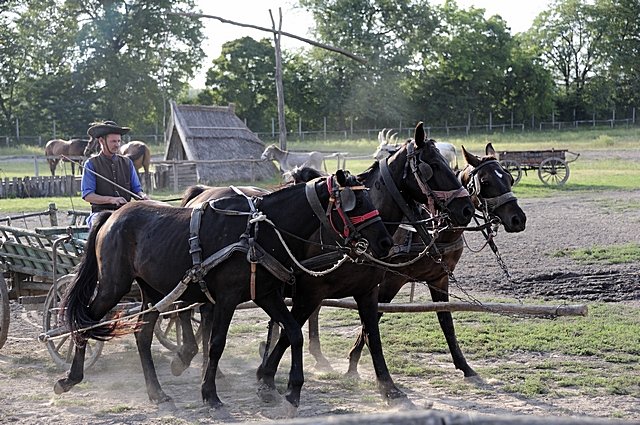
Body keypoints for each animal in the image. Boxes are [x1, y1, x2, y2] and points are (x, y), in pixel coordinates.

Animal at [54, 170, 393, 417]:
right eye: (355, 203)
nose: (386, 242)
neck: (261, 231)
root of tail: (111, 217)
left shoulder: (267, 295)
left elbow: (293, 333)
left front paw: (291, 392)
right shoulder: (229, 298)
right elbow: (216, 343)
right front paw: (211, 395)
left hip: (153, 291)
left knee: (143, 335)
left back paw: (157, 393)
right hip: (113, 286)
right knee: (85, 321)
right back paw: (70, 378)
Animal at [305, 142, 527, 382]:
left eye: (509, 178)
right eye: (485, 182)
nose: (518, 219)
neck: (428, 232)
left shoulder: (439, 279)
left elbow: (446, 321)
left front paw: (464, 366)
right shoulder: (389, 280)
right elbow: (373, 318)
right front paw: (353, 361)